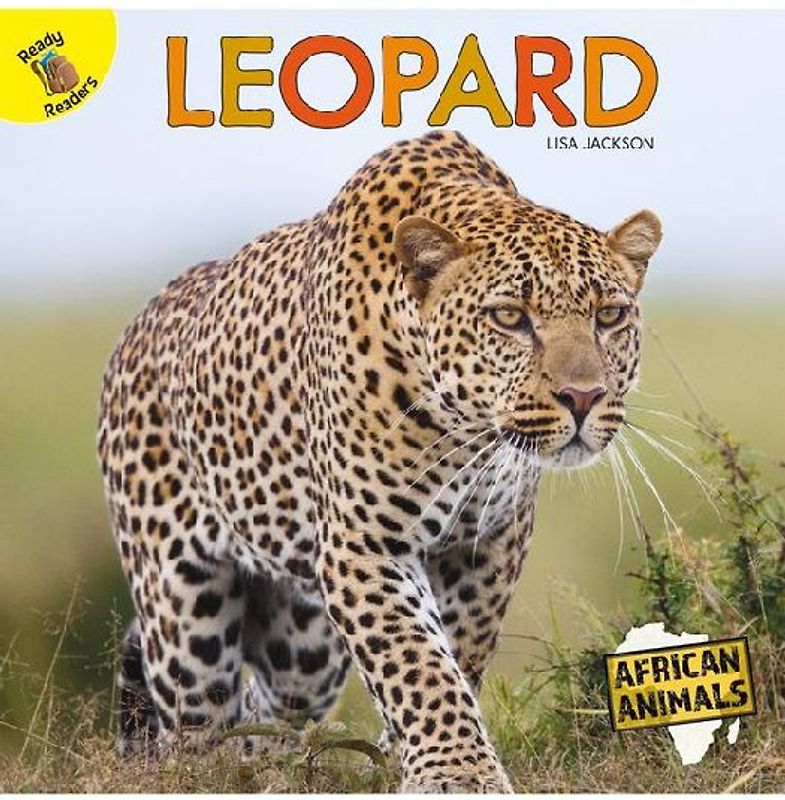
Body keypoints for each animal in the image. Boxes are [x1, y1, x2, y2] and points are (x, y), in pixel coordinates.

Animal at [97, 130, 661, 792]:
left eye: (609, 315)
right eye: (509, 318)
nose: (582, 397)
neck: (465, 430)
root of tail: (135, 328)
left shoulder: (488, 543)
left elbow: (457, 651)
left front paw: (406, 756)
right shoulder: (364, 544)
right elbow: (414, 658)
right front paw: (456, 772)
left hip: (303, 645)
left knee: (270, 711)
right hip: (185, 618)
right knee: (194, 730)